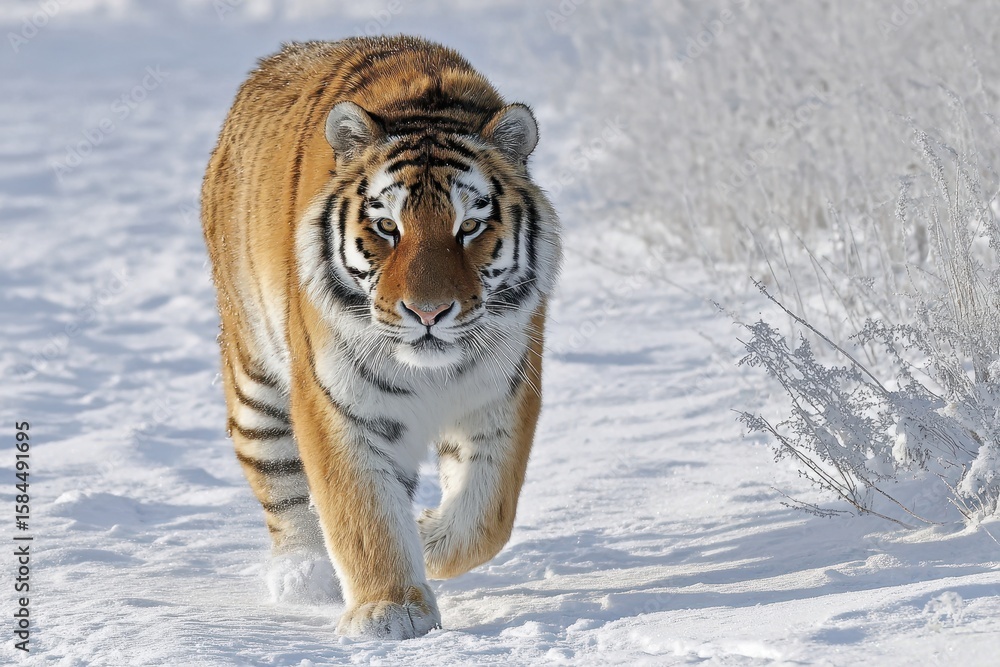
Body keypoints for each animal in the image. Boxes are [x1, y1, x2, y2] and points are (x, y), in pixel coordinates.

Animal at [200, 35, 561, 639]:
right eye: (388, 227)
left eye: (469, 227)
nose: (429, 311)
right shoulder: (339, 403)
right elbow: (362, 512)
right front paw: (389, 611)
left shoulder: (503, 393)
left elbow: (489, 510)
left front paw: (430, 538)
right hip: (254, 380)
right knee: (280, 483)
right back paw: (303, 578)